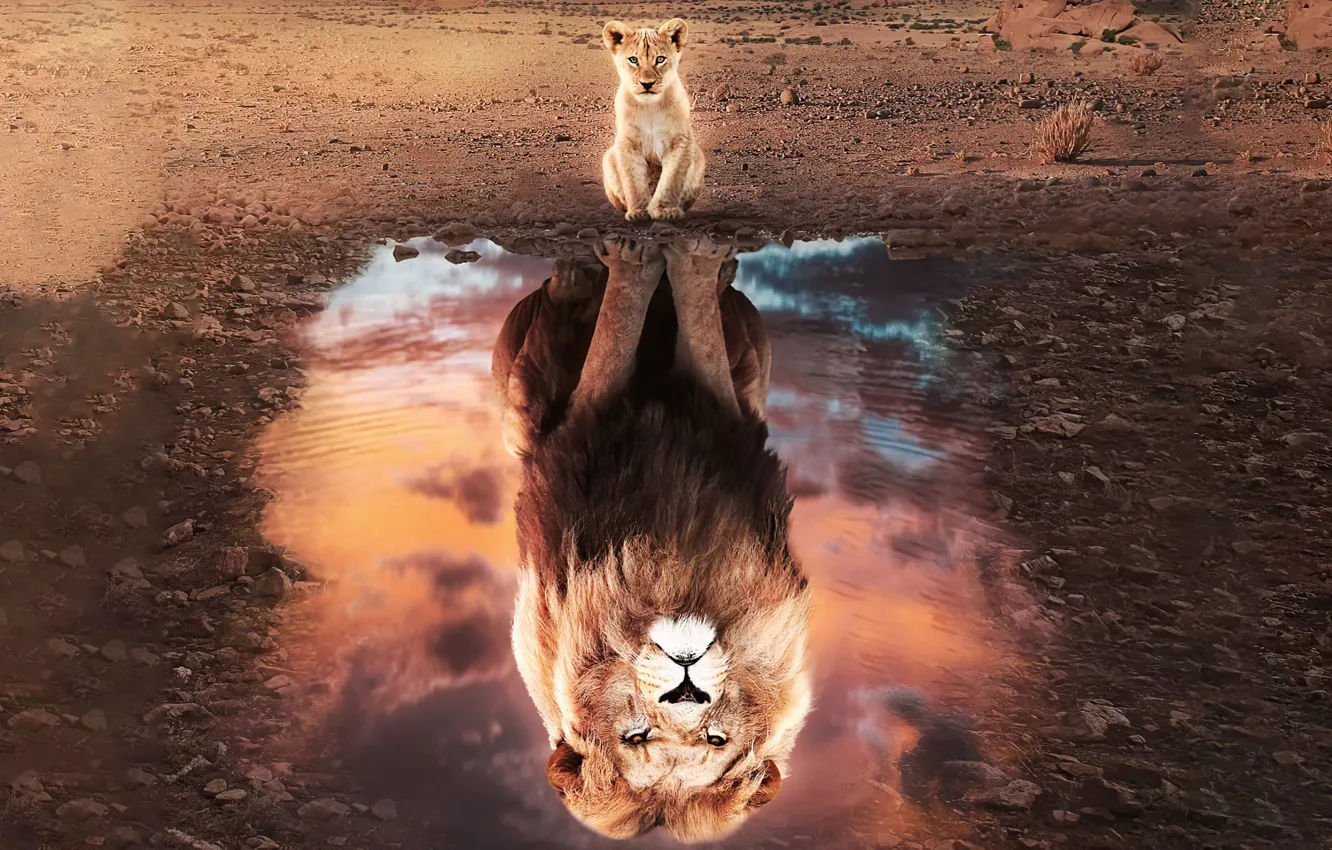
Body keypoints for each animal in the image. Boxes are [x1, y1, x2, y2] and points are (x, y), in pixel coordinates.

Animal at [492, 236, 811, 842]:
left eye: (714, 739)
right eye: (635, 736)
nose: (687, 684)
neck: (669, 571)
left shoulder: (727, 411)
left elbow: (695, 332)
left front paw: (691, 260)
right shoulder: (584, 417)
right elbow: (618, 329)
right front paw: (640, 259)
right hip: (513, 394)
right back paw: (575, 277)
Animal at [601, 19, 706, 222]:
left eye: (660, 59)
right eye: (633, 60)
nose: (647, 84)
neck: (650, 107)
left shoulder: (680, 141)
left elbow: (670, 180)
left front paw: (665, 210)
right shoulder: (628, 143)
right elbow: (634, 181)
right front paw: (639, 211)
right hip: (608, 157)